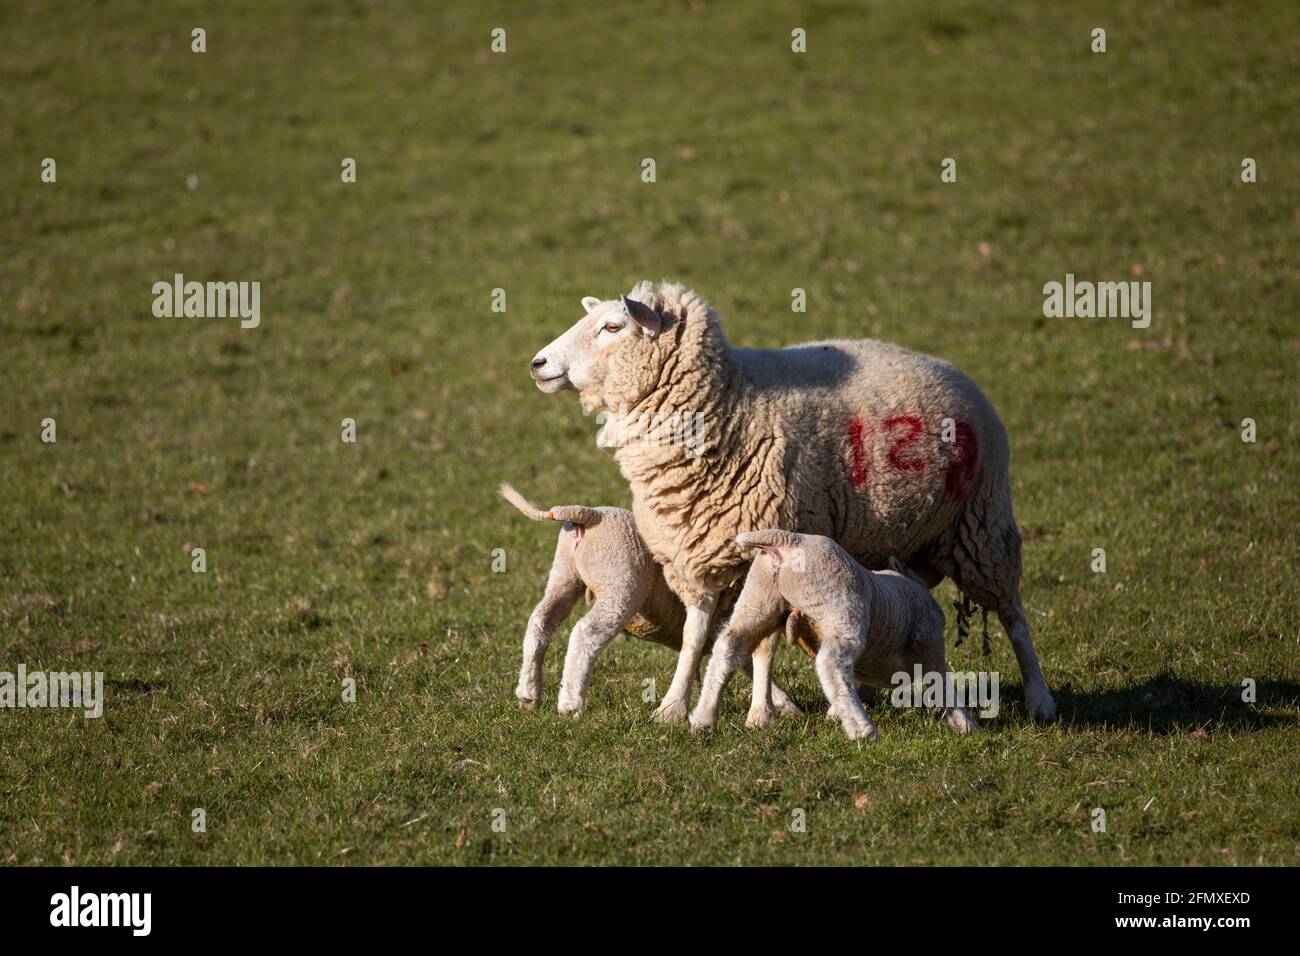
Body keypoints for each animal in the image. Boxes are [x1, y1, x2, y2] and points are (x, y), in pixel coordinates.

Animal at [496, 486, 800, 717]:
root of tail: (590, 515)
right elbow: (748, 660)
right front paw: (785, 705)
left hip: (564, 574)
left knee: (541, 621)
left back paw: (528, 693)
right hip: (620, 584)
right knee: (585, 634)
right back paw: (571, 703)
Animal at [691, 530, 977, 738]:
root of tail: (789, 540)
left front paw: (833, 714)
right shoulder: (930, 641)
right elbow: (942, 683)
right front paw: (967, 725)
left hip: (759, 598)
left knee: (729, 646)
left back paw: (704, 719)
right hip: (841, 605)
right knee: (831, 662)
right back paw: (862, 729)